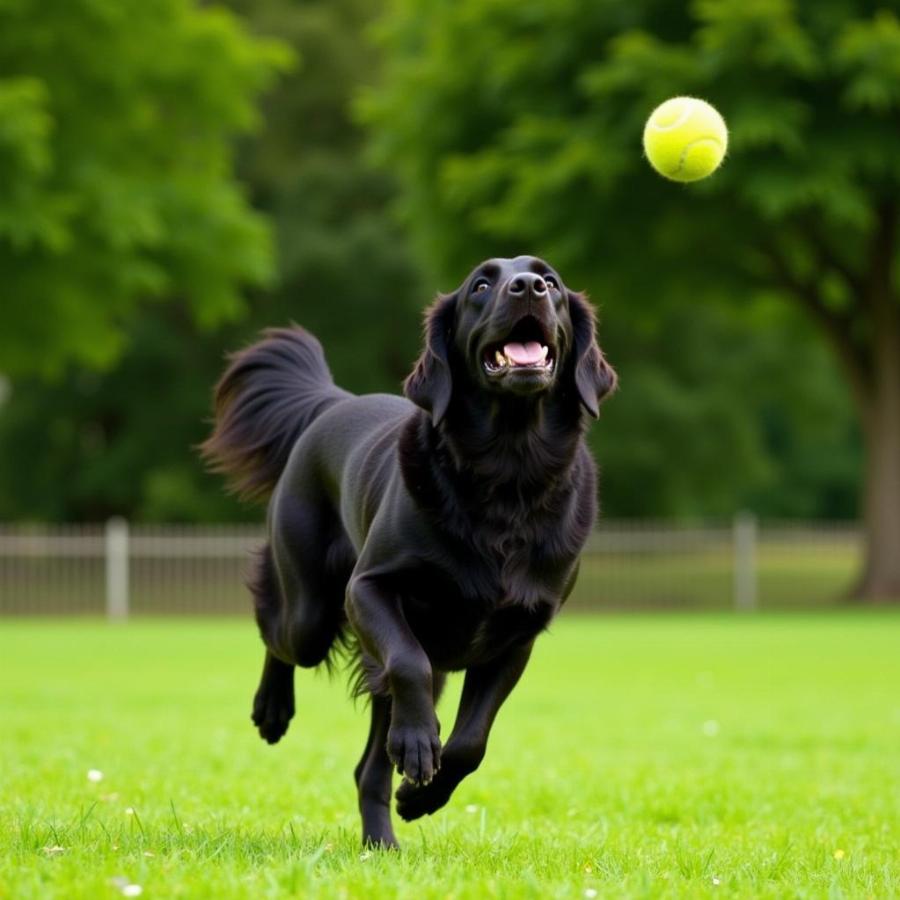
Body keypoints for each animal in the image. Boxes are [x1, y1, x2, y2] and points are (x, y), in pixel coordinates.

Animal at [200, 256, 616, 848]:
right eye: (480, 285)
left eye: (551, 282)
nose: (528, 287)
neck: (508, 473)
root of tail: (335, 401)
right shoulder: (369, 590)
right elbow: (407, 664)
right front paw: (418, 747)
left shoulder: (519, 632)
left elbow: (470, 741)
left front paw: (423, 794)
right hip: (311, 611)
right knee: (277, 626)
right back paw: (273, 709)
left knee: (367, 769)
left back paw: (383, 841)